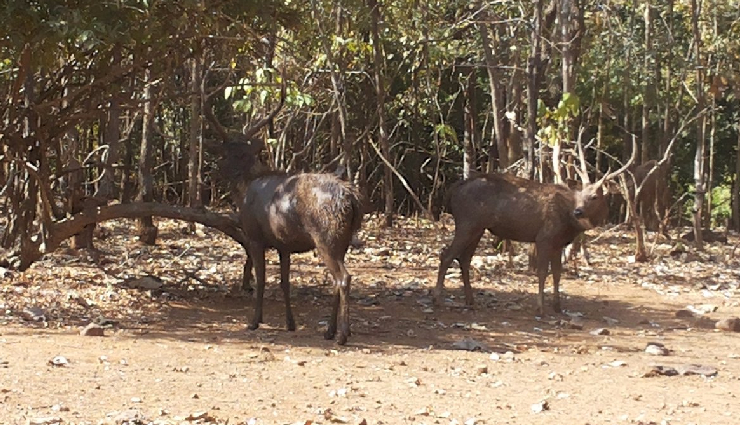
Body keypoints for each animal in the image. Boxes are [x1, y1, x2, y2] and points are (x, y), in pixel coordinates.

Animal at [204, 83, 363, 345]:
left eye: (224, 154)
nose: (217, 173)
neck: (245, 188)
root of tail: (352, 200)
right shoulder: (283, 244)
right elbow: (285, 282)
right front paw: (290, 323)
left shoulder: (255, 237)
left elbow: (261, 280)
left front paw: (254, 321)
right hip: (345, 239)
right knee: (335, 280)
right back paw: (328, 331)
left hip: (326, 236)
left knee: (343, 278)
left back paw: (342, 334)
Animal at [435, 144, 635, 316]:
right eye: (579, 195)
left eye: (594, 196)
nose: (578, 211)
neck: (569, 223)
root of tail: (452, 191)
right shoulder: (544, 237)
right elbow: (542, 272)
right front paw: (541, 308)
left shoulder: (558, 243)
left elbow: (557, 273)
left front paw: (557, 307)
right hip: (467, 222)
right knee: (447, 254)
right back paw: (437, 298)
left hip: (478, 227)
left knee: (464, 258)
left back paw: (470, 300)